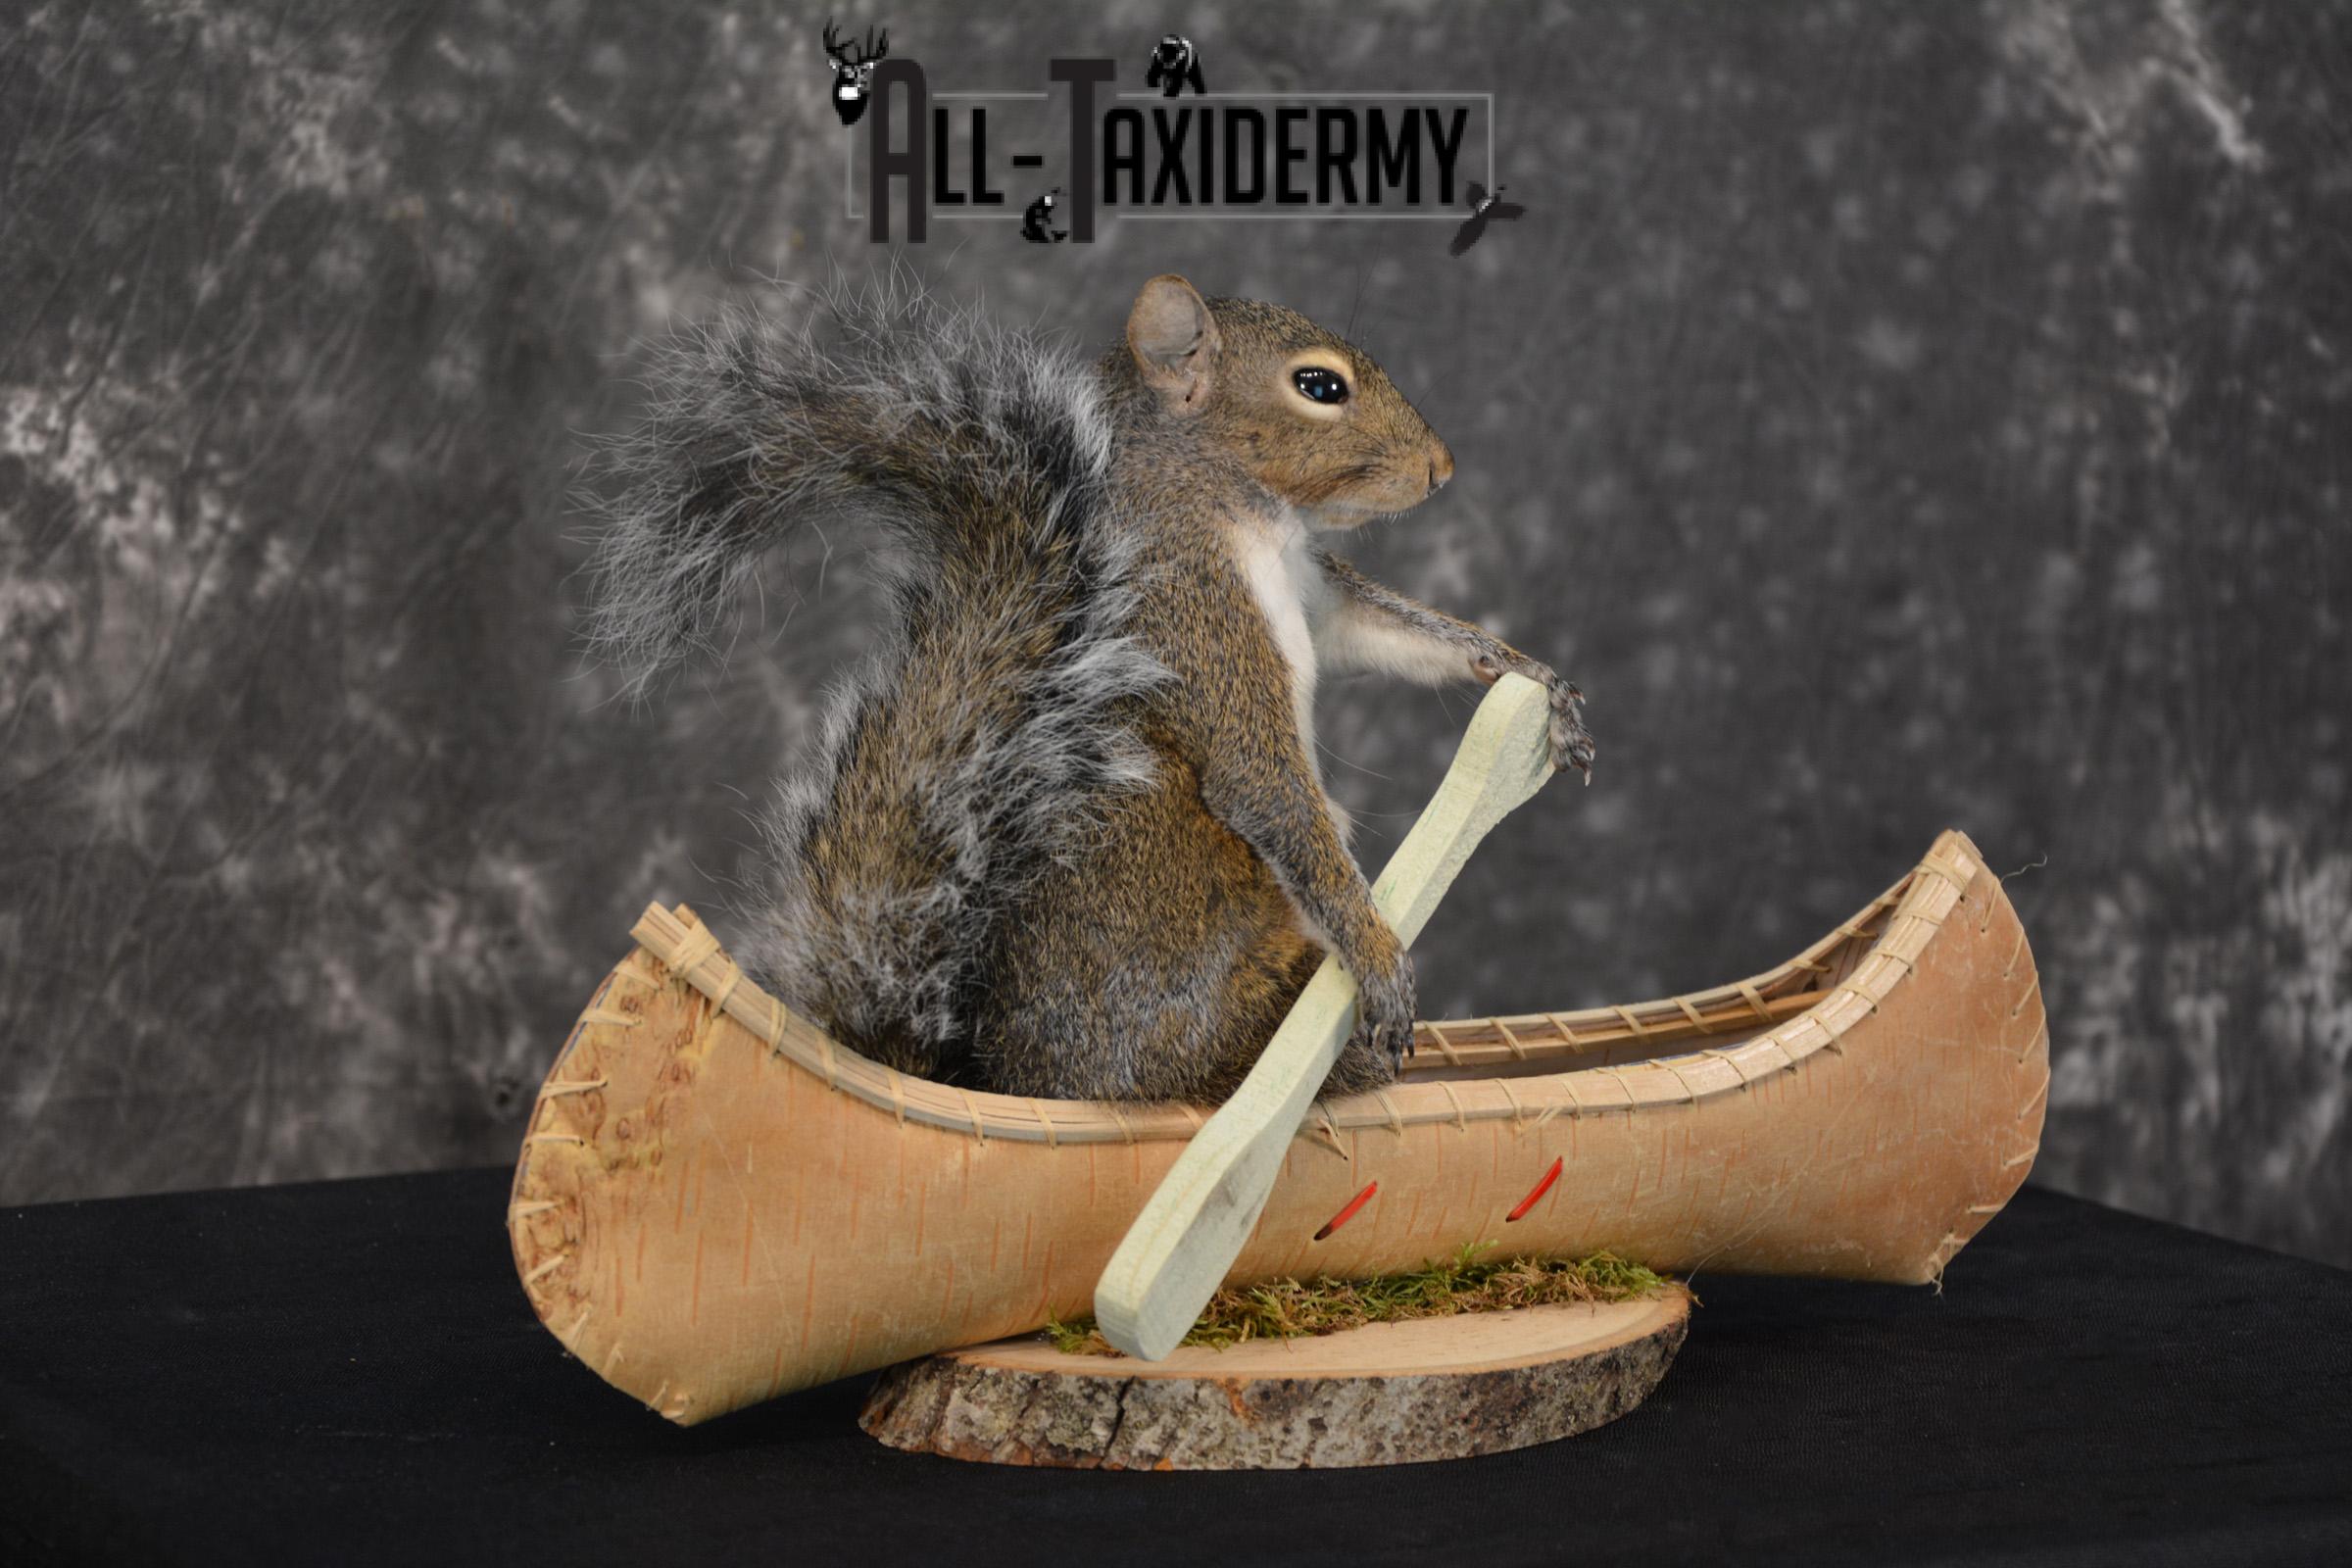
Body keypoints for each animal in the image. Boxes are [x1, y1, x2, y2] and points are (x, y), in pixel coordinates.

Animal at [582, 274, 1593, 1104]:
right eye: (1319, 387)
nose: (1442, 469)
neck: (1228, 503)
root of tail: (1018, 1081)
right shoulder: (1195, 613)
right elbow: (1262, 779)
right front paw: (1380, 958)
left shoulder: (1310, 588)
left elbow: (1375, 626)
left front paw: (1525, 675)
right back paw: (1334, 1061)